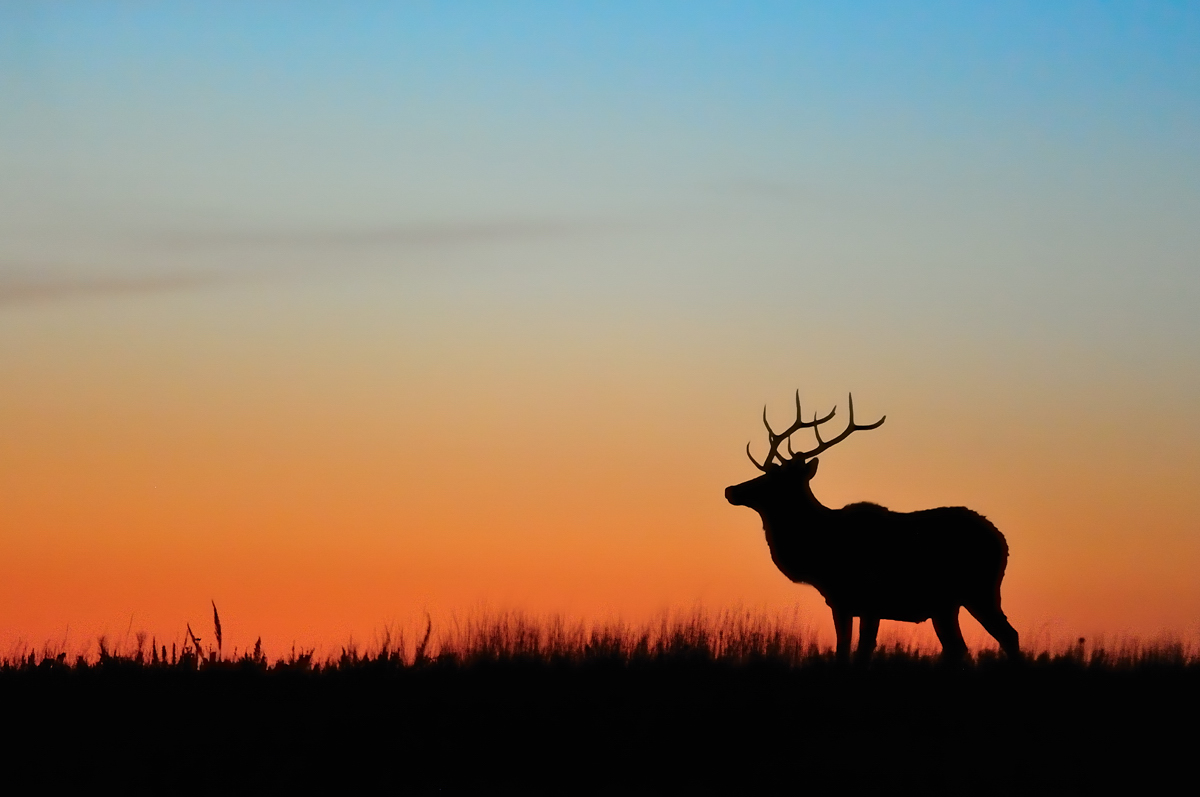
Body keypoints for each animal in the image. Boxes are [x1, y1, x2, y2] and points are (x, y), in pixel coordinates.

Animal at [725, 391, 1021, 664]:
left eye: (773, 477)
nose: (731, 489)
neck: (819, 554)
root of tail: (1002, 540)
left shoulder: (868, 599)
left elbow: (859, 652)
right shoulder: (841, 601)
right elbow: (845, 650)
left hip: (980, 590)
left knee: (1009, 635)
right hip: (947, 604)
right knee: (959, 648)